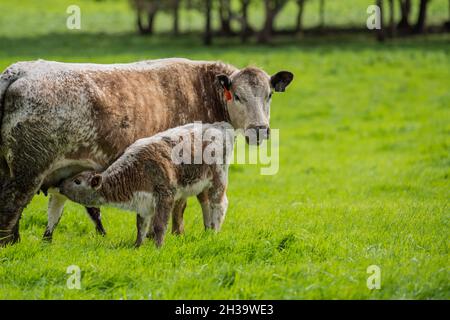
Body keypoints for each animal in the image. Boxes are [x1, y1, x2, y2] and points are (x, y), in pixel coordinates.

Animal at [0, 58, 294, 245]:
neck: (201, 89)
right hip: (27, 171)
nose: (260, 130)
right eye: (238, 96)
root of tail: (18, 71)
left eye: (269, 95)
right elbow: (184, 204)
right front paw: (179, 235)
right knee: (11, 206)